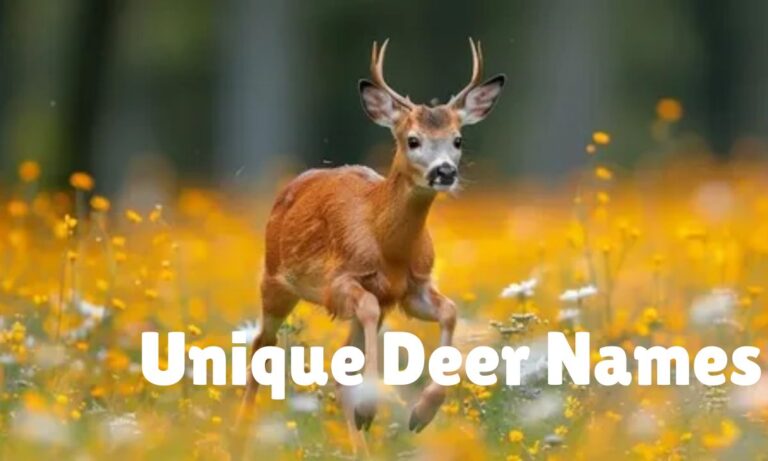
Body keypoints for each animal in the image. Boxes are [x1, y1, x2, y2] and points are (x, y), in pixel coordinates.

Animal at [234, 37, 505, 455]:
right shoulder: (339, 282)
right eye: (413, 140)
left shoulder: (411, 288)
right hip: (275, 281)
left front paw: (422, 412)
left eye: (458, 140)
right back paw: (239, 438)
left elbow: (450, 311)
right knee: (263, 347)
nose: (445, 171)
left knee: (337, 365)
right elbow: (365, 308)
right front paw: (370, 407)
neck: (388, 247)